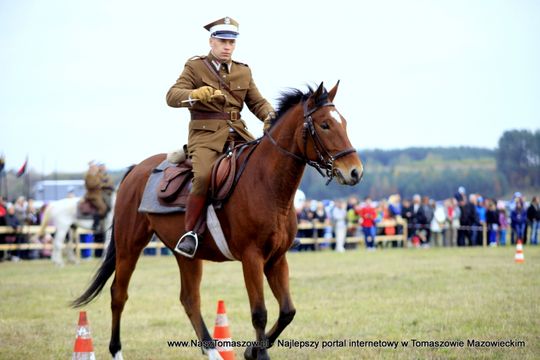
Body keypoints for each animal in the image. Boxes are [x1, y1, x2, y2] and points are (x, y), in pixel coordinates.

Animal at [73, 82, 362, 360]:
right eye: (325, 125)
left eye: (344, 122)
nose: (355, 171)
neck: (266, 183)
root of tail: (135, 170)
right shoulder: (252, 258)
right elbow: (260, 312)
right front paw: (259, 354)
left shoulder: (277, 259)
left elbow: (287, 311)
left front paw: (250, 350)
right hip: (129, 246)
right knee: (118, 294)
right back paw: (116, 351)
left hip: (186, 256)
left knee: (190, 299)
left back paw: (214, 352)